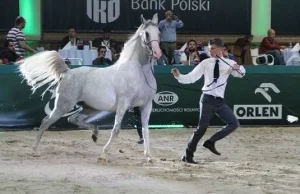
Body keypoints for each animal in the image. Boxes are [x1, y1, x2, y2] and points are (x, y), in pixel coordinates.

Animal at [18, 13, 162, 161]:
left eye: (158, 33)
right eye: (146, 34)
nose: (158, 53)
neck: (138, 73)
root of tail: (67, 72)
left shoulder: (146, 105)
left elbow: (145, 130)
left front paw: (149, 156)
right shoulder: (123, 104)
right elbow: (116, 129)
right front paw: (103, 154)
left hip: (89, 108)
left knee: (72, 119)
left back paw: (95, 133)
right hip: (63, 106)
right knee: (45, 122)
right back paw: (35, 150)